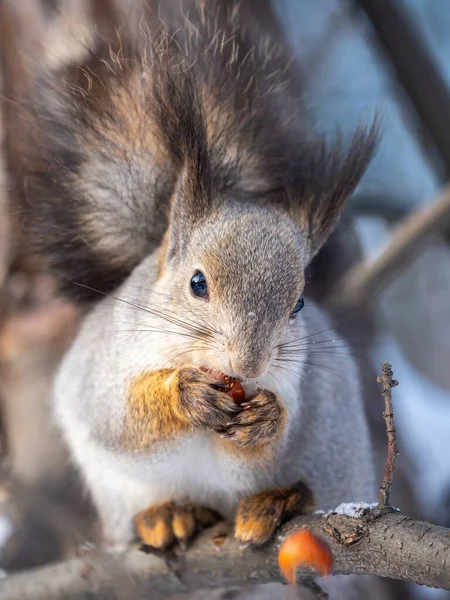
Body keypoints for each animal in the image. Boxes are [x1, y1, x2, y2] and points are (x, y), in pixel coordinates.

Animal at [0, 0, 378, 552]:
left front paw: (266, 419)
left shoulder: (299, 385)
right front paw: (182, 396)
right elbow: (119, 418)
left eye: (299, 304)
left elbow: (267, 447)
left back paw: (278, 501)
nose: (248, 363)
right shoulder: (100, 368)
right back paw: (167, 516)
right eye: (197, 283)